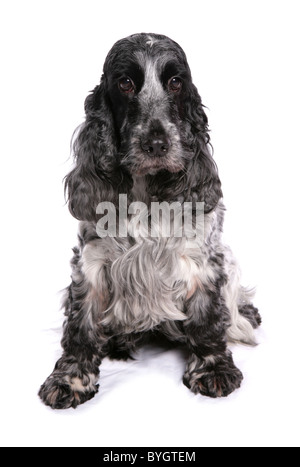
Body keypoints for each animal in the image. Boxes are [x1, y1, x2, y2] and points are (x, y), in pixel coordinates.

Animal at [39, 33, 260, 410]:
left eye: (175, 82)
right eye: (126, 83)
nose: (156, 144)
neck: (144, 191)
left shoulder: (203, 260)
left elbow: (207, 319)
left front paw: (212, 369)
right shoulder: (91, 263)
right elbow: (81, 326)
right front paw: (70, 379)